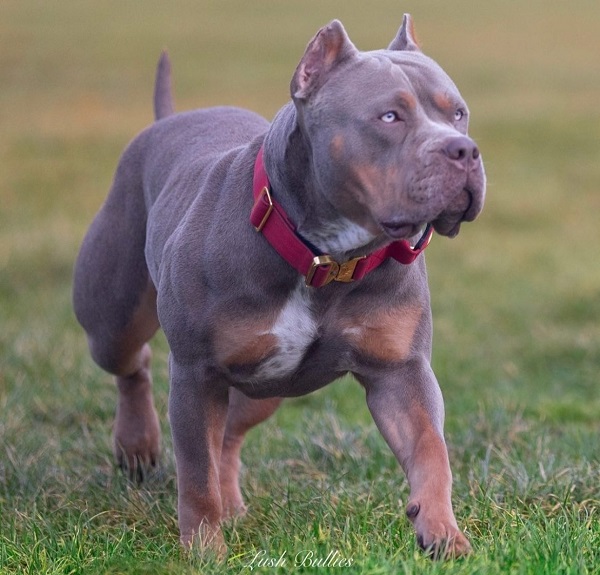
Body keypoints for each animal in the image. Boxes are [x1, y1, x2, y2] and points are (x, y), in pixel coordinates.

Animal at [72, 13, 486, 560]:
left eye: (458, 113)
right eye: (389, 117)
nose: (464, 150)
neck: (327, 260)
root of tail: (168, 119)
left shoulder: (400, 373)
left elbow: (431, 450)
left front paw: (441, 531)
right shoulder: (195, 374)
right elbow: (196, 473)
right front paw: (204, 552)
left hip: (262, 387)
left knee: (227, 436)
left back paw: (232, 503)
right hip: (112, 324)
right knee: (133, 365)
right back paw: (137, 444)